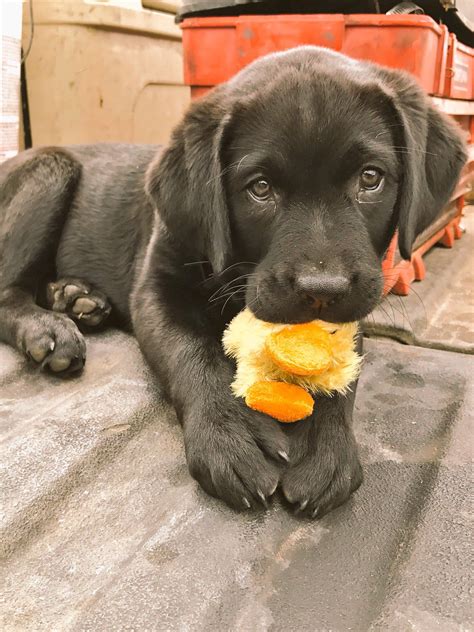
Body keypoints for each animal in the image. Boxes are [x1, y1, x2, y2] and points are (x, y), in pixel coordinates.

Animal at [0, 45, 466, 520]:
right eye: (259, 188)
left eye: (370, 178)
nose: (323, 289)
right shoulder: (156, 290)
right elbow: (193, 352)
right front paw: (233, 431)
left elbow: (341, 368)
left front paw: (325, 445)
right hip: (50, 170)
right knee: (7, 291)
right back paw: (50, 329)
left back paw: (76, 298)